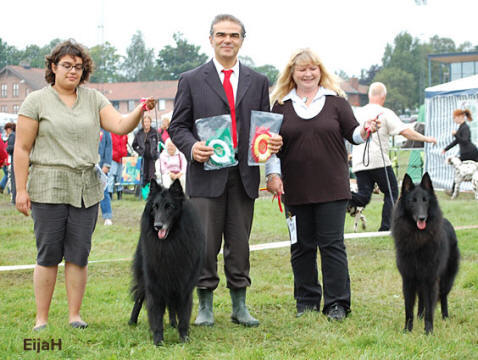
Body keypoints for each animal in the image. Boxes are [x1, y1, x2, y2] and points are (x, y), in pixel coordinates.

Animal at [130, 179, 204, 344]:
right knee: (139, 299)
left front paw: (184, 338)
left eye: (169, 206)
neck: (169, 245)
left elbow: (183, 314)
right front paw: (158, 341)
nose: (158, 226)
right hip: (144, 279)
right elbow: (156, 314)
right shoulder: (154, 284)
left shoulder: (183, 284)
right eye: (155, 207)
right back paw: (132, 322)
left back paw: (172, 323)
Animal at [392, 173, 460, 334]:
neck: (418, 238)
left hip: (446, 279)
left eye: (426, 200)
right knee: (422, 300)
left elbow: (430, 308)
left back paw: (445, 317)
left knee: (443, 296)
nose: (422, 218)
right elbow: (408, 309)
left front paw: (428, 331)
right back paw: (419, 316)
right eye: (412, 201)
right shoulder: (409, 279)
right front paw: (407, 330)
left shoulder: (430, 279)